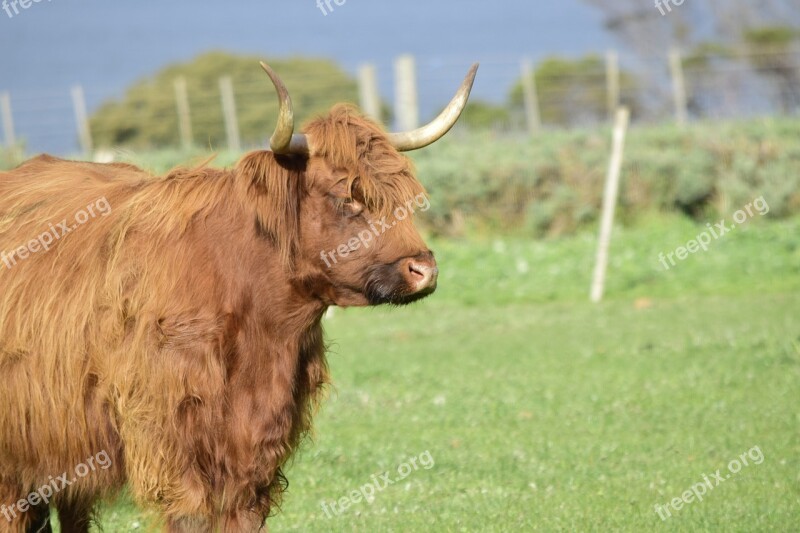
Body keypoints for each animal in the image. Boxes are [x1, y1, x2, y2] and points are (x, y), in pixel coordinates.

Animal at [0, 60, 476, 528]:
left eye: (406, 196)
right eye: (347, 196)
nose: (425, 270)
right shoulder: (170, 432)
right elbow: (190, 513)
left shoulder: (259, 441)